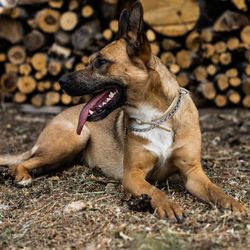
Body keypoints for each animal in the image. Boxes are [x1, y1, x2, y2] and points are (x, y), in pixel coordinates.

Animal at [0, 1, 246, 221]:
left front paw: (233, 203)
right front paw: (167, 205)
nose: (61, 81)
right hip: (73, 139)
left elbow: (215, 189)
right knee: (21, 162)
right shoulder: (133, 175)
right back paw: (22, 176)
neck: (157, 117)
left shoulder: (193, 173)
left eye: (100, 62)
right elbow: (155, 190)